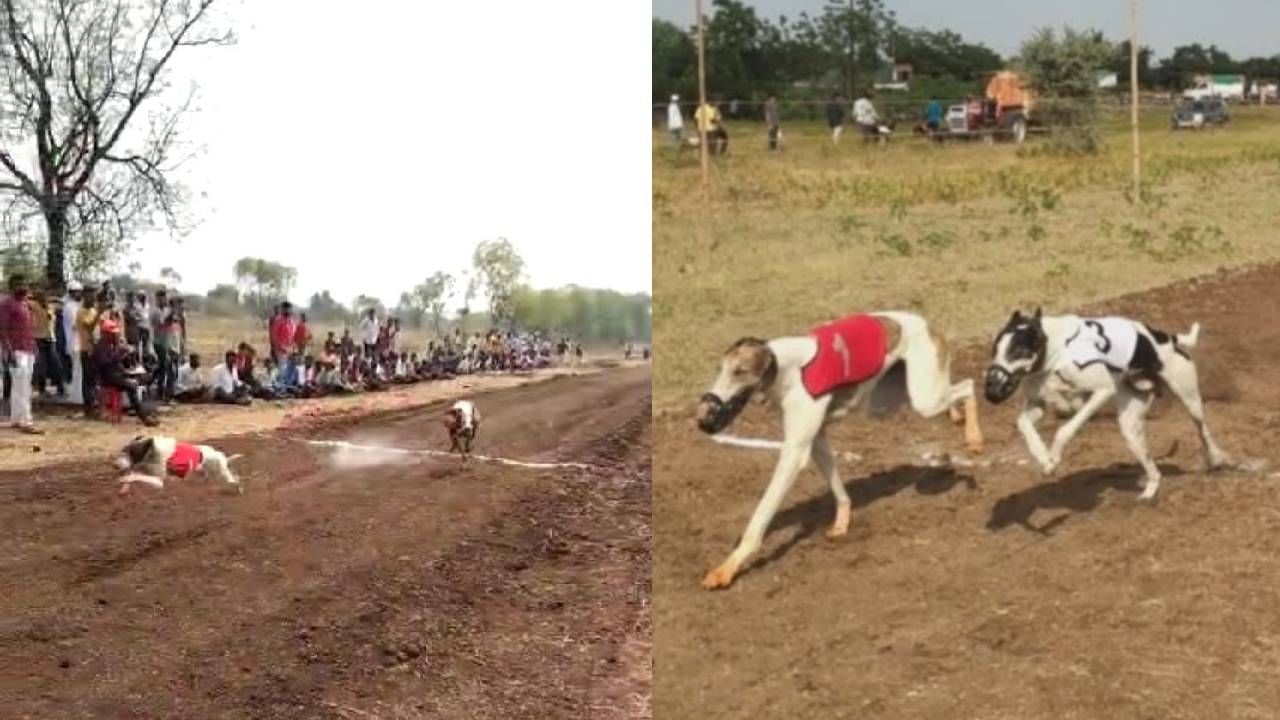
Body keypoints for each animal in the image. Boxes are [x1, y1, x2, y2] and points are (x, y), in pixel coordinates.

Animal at [691, 311, 977, 586]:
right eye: (720, 369)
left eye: (740, 371)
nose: (704, 418)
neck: (788, 369)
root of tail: (927, 323)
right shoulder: (816, 439)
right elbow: (837, 486)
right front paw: (842, 523)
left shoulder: (794, 452)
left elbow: (761, 514)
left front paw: (726, 568)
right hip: (893, 398)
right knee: (955, 391)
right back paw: (958, 418)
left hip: (924, 399)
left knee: (969, 386)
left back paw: (975, 439)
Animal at [977, 307, 1228, 499]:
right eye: (995, 350)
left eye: (1018, 350)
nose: (990, 390)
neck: (1055, 353)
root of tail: (1169, 338)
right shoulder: (1039, 404)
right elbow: (1023, 423)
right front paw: (1042, 456)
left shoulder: (1100, 394)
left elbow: (1065, 430)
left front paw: (1053, 458)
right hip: (1130, 426)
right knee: (1150, 464)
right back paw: (1150, 490)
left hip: (1189, 399)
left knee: (1202, 429)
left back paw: (1218, 459)